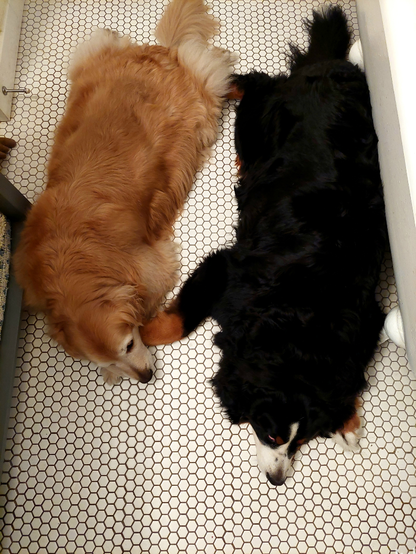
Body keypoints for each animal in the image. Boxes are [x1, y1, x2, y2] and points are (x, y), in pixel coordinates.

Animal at [13, 0, 234, 382]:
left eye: (129, 345)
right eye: (106, 360)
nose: (145, 378)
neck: (72, 261)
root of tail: (159, 50)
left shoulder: (152, 267)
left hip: (205, 97)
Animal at [142, 6, 386, 486]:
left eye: (303, 440)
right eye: (269, 432)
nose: (277, 479)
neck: (304, 308)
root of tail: (326, 68)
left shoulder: (366, 312)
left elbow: (352, 367)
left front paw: (348, 419)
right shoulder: (228, 270)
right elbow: (177, 321)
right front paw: (139, 334)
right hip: (258, 118)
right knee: (250, 84)